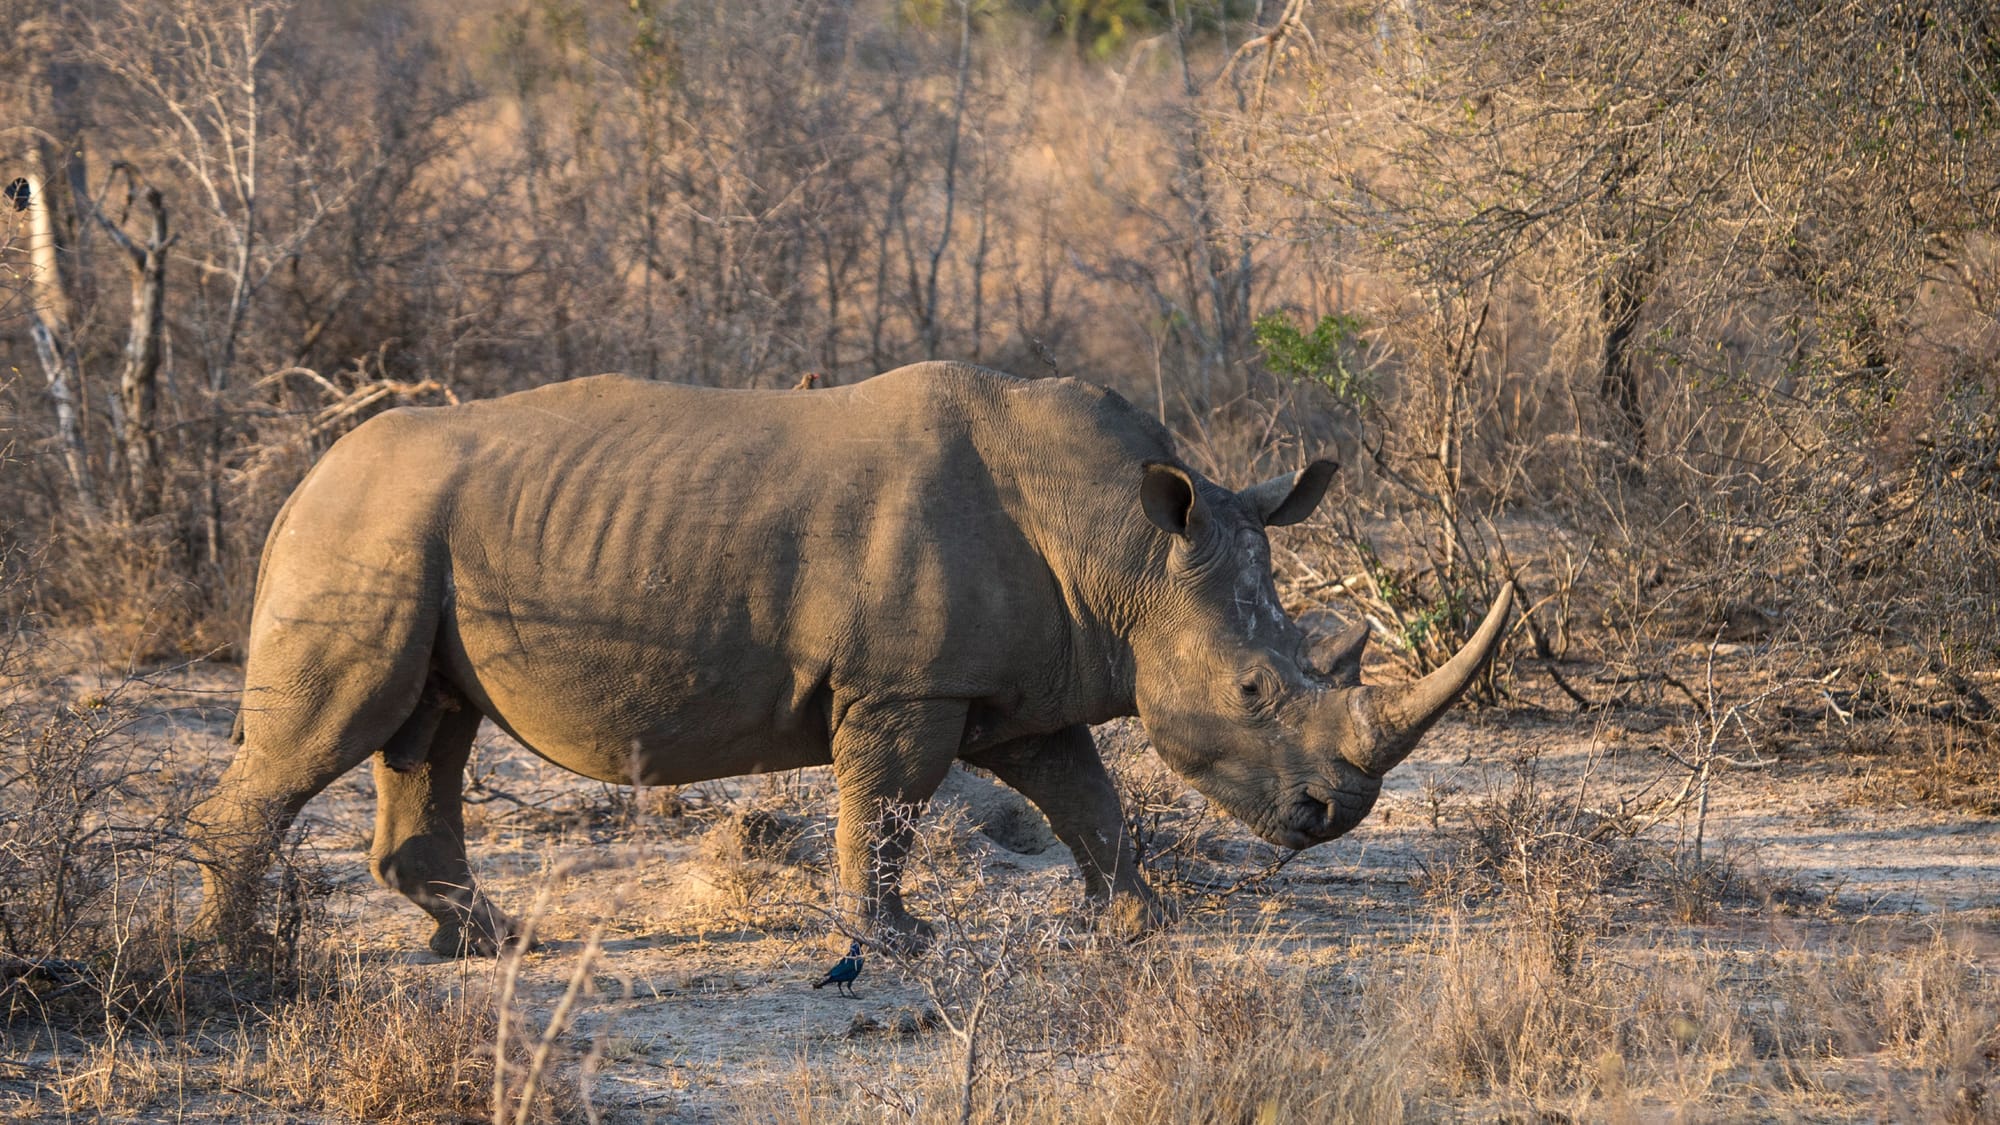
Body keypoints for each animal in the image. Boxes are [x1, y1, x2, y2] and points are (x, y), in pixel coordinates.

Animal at [191, 362, 1511, 956]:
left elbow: (1087, 801)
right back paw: (241, 960)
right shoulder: (902, 686)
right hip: (364, 534)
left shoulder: (1021, 687)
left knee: (430, 731)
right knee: (340, 730)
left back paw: (494, 945)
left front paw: (1141, 921)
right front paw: (897, 944)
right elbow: (887, 808)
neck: (1129, 550)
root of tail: (302, 478)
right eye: (1251, 689)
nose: (1327, 818)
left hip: (407, 539)